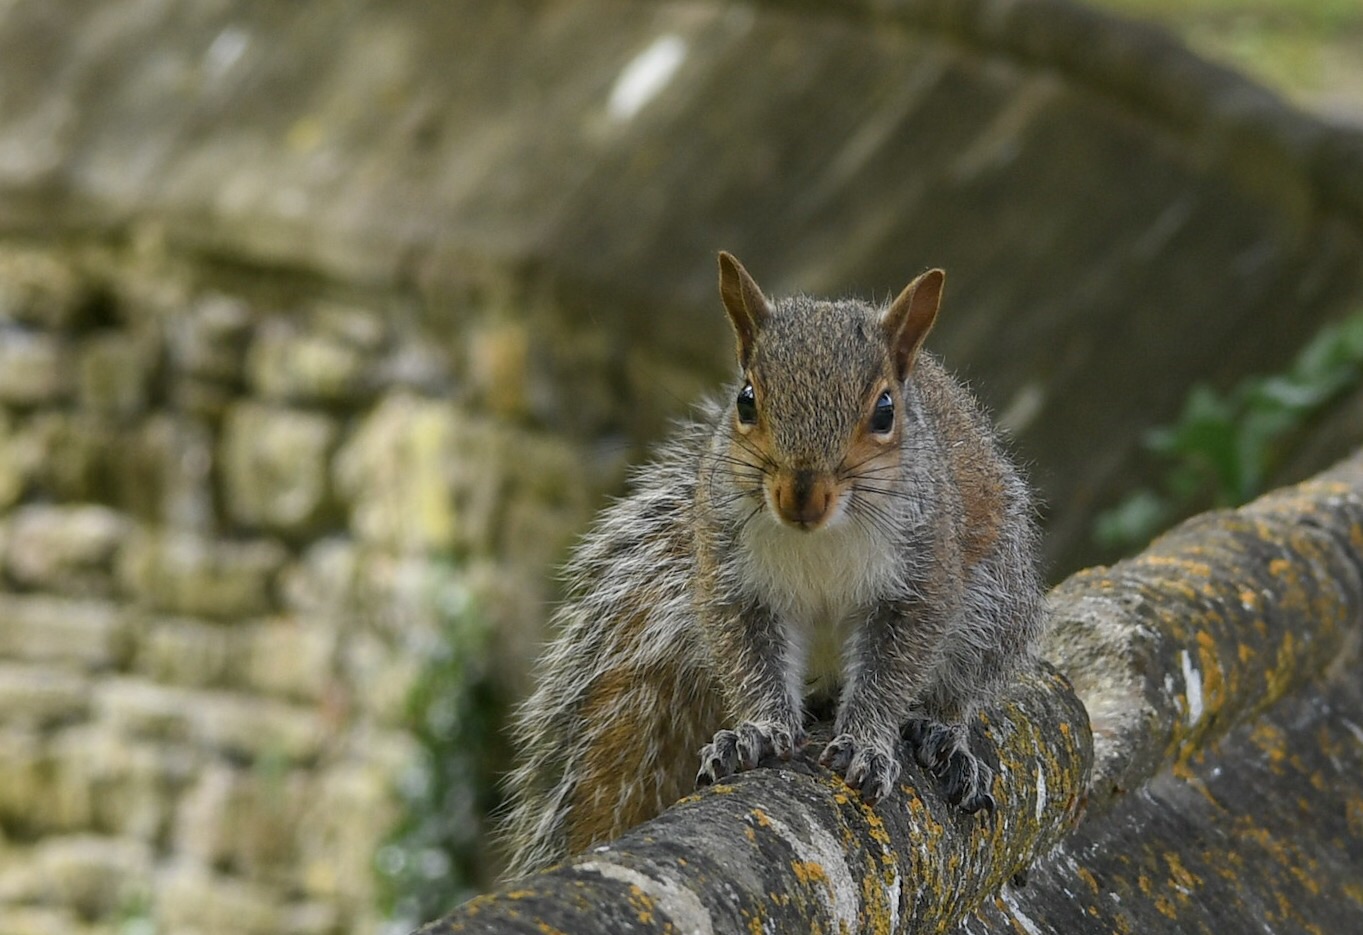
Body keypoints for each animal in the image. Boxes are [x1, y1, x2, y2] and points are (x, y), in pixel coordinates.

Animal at [501, 252, 1041, 883]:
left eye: (885, 411)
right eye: (746, 400)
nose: (800, 495)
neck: (819, 540)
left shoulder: (923, 579)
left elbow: (892, 672)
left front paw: (866, 742)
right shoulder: (733, 582)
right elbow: (750, 662)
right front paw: (758, 733)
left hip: (995, 605)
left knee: (961, 686)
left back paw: (941, 734)